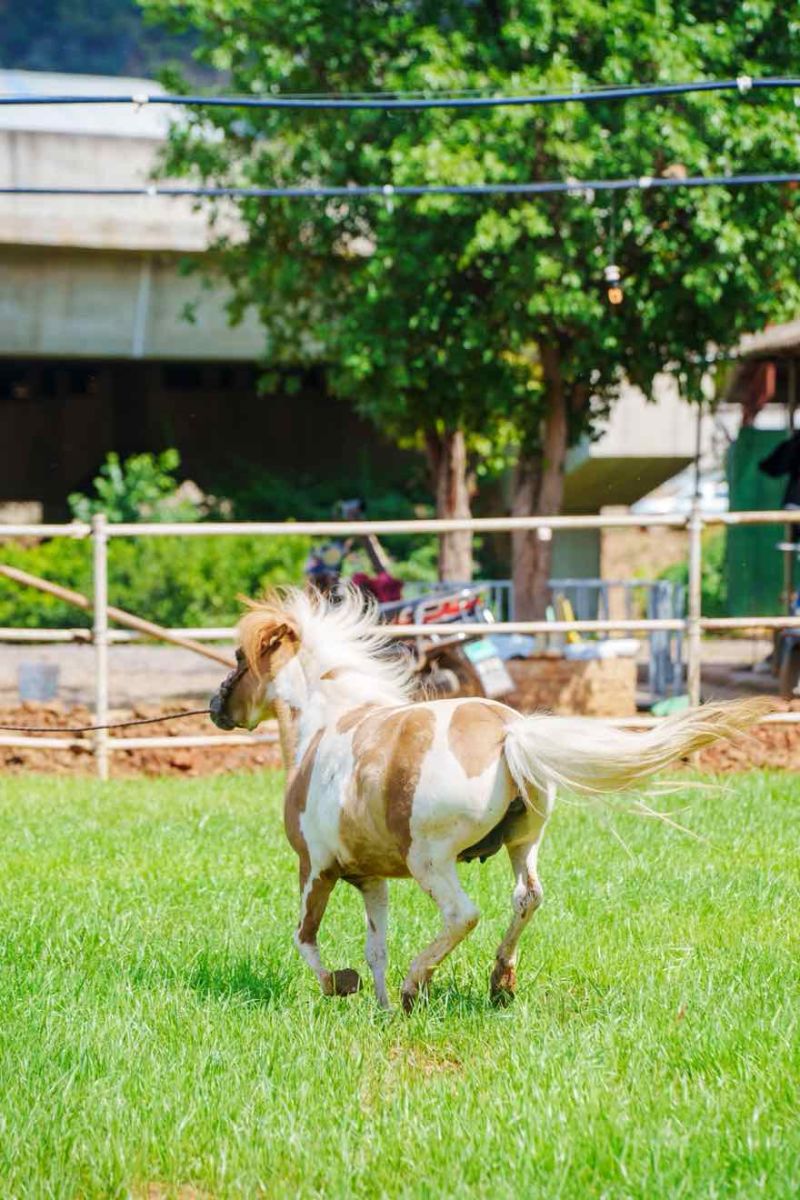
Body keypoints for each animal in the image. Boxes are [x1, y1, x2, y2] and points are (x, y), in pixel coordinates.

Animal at [209, 587, 769, 1011]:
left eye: (239, 658)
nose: (216, 705)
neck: (323, 727)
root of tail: (509, 732)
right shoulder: (369, 878)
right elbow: (375, 948)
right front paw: (379, 1007)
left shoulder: (316, 867)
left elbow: (305, 939)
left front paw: (342, 987)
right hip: (524, 841)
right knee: (528, 896)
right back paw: (500, 982)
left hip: (431, 860)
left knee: (463, 914)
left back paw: (418, 985)